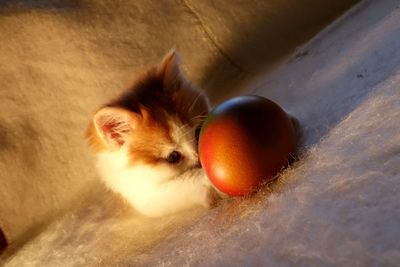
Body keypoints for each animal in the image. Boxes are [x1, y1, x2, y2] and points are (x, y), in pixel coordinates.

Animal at [86, 50, 219, 218]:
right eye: (173, 157)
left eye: (198, 133)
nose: (200, 160)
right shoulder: (142, 195)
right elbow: (181, 183)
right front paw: (206, 180)